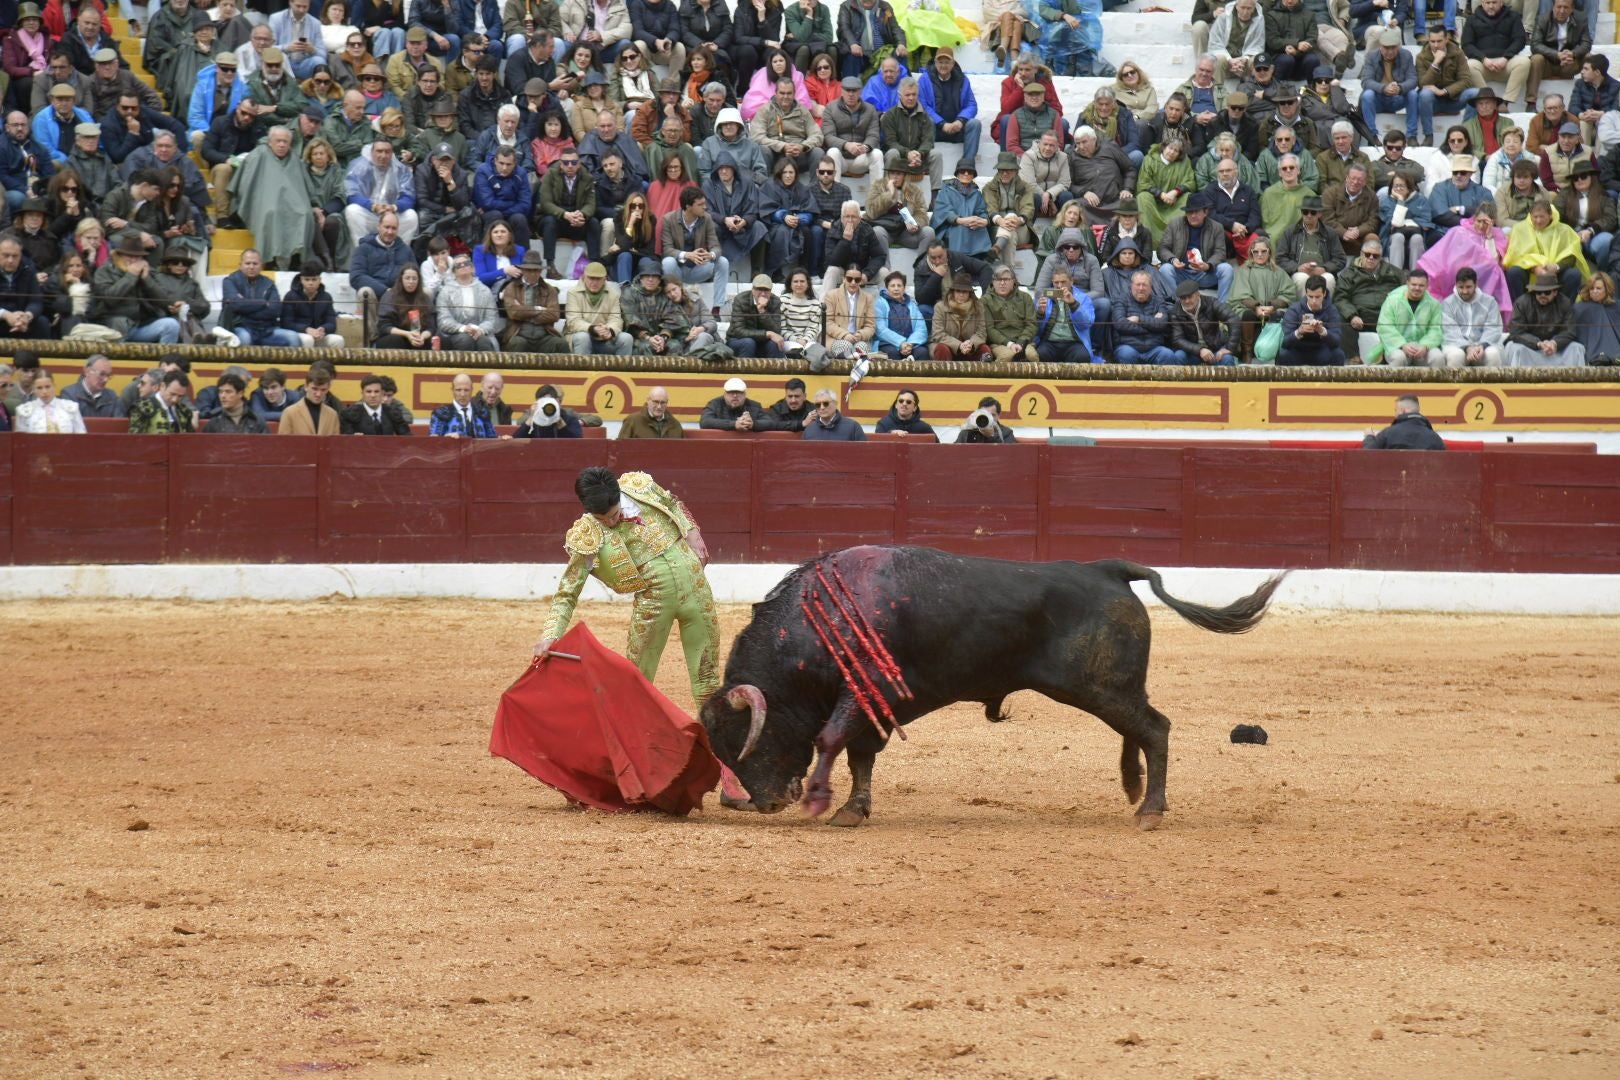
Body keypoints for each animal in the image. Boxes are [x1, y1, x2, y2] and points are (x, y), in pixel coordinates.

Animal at [703, 544, 1283, 835]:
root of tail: (1107, 569)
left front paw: (821, 802)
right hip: (1114, 688)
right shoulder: (871, 706)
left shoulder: (860, 693)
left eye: (749, 742)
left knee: (1155, 728)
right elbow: (860, 755)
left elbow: (831, 740)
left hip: (1100, 688)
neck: (812, 623)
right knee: (1140, 728)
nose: (767, 804)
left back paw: (1150, 811)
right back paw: (1133, 788)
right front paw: (852, 809)